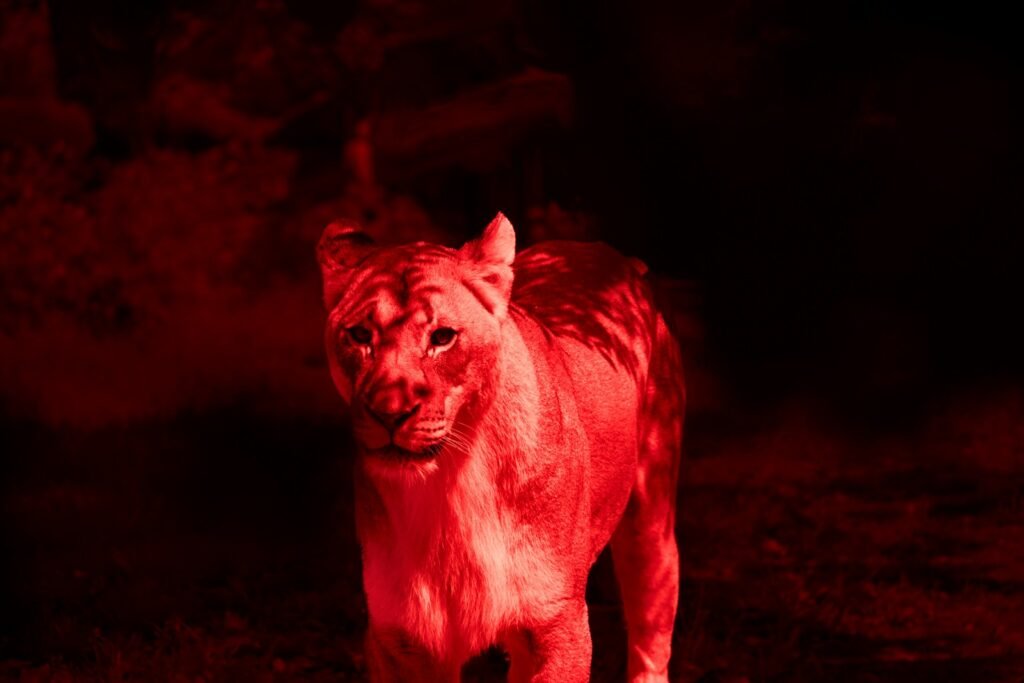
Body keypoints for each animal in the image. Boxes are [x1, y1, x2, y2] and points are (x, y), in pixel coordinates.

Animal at [317, 213, 685, 683]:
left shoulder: (559, 624)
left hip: (651, 529)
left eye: (442, 337)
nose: (390, 412)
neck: (452, 482)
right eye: (360, 335)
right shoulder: (400, 638)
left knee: (650, 645)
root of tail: (607, 253)